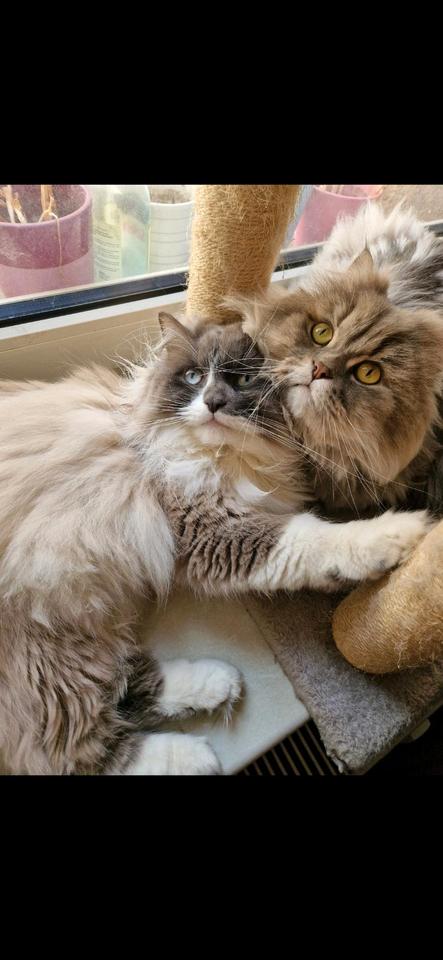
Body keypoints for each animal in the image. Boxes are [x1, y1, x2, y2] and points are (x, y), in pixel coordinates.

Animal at [0, 314, 431, 775]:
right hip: (52, 654)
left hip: (86, 630)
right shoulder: (212, 531)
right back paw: (198, 756)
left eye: (243, 380)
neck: (224, 455)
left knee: (129, 685)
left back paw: (216, 684)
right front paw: (402, 532)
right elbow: (313, 538)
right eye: (193, 377)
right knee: (80, 751)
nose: (212, 403)